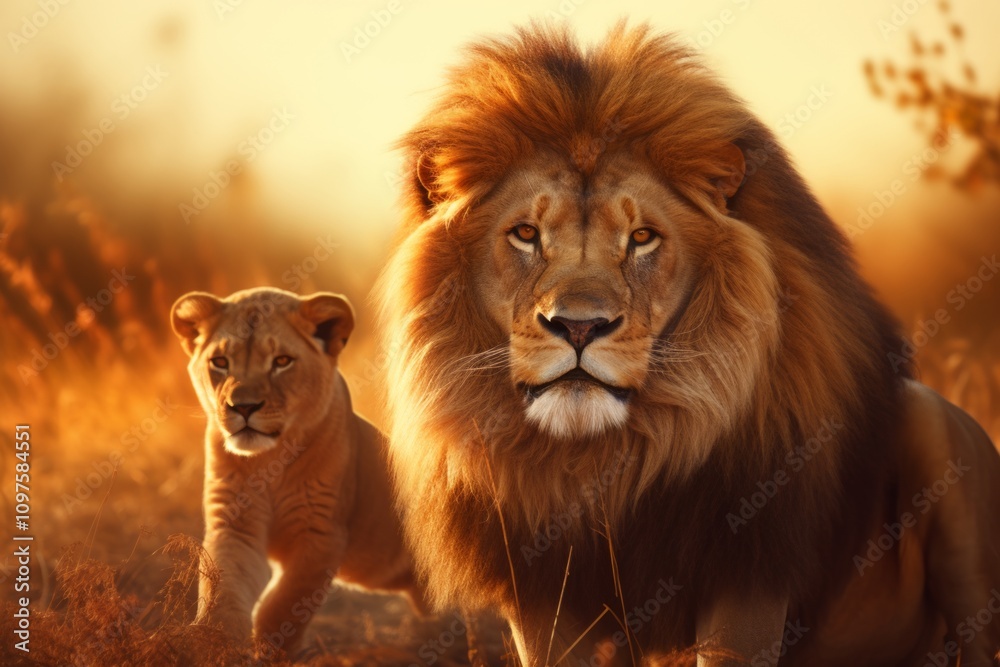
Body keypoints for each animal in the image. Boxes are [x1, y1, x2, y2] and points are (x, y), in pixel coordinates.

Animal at [170, 288, 425, 656]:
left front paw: (271, 648)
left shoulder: (321, 534)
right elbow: (224, 585)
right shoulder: (235, 523)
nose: (243, 407)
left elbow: (285, 602)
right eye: (220, 362)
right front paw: (213, 642)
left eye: (281, 362)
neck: (267, 461)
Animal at [378, 24, 1000, 667]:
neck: (599, 462)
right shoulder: (541, 593)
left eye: (642, 237)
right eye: (526, 234)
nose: (579, 327)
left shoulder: (749, 574)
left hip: (939, 443)